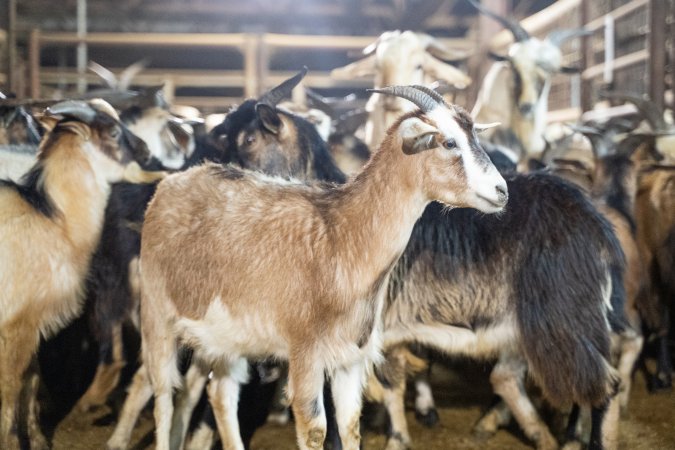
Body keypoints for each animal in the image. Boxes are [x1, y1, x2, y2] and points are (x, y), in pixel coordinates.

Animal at [137, 85, 508, 450]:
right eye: (448, 142)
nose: (502, 191)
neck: (341, 238)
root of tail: (170, 186)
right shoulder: (304, 353)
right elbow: (314, 430)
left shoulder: (350, 358)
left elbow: (350, 428)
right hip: (157, 314)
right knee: (163, 396)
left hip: (226, 334)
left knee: (220, 393)